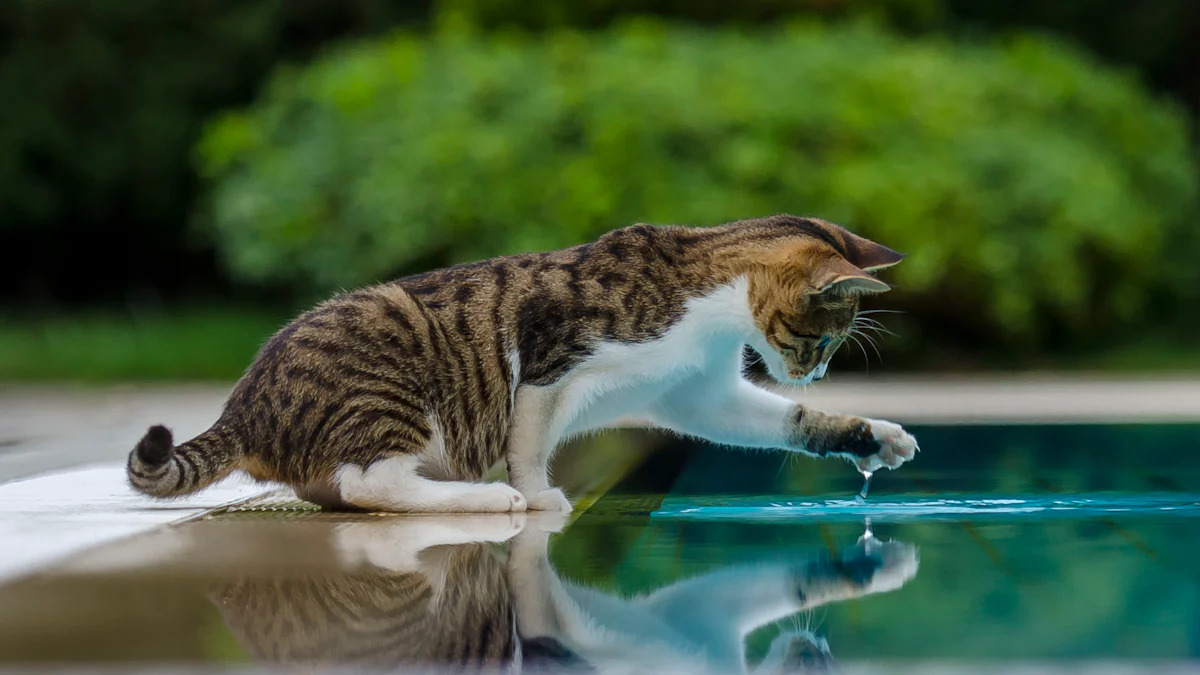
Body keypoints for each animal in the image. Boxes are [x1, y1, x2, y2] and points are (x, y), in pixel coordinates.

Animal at [126, 214, 916, 509]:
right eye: (820, 341)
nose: (814, 372)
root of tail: (245, 404)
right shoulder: (546, 357)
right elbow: (528, 441)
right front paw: (537, 497)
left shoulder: (696, 392)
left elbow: (787, 421)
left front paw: (872, 435)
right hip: (389, 370)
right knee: (371, 483)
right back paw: (479, 498)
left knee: (344, 488)